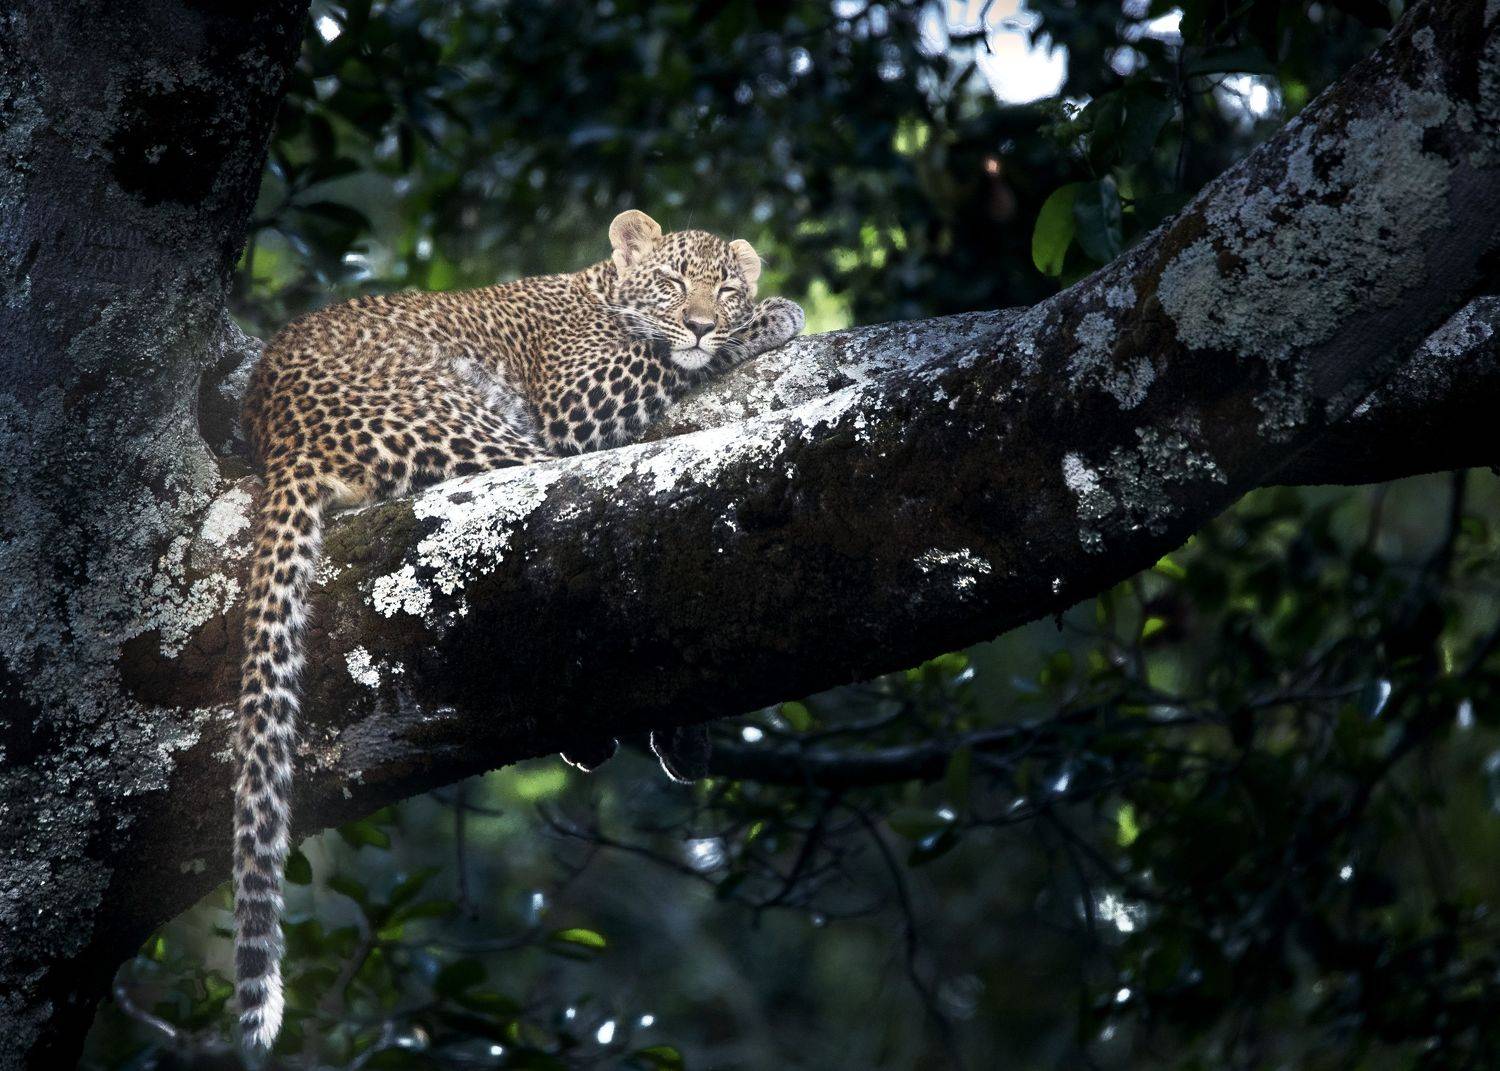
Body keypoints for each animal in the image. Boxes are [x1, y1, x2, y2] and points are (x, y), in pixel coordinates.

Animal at [232, 209, 804, 1048]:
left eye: (724, 285)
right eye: (673, 282)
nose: (704, 319)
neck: (599, 288)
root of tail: (278, 434)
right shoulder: (579, 398)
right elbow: (664, 358)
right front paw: (771, 318)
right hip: (483, 434)